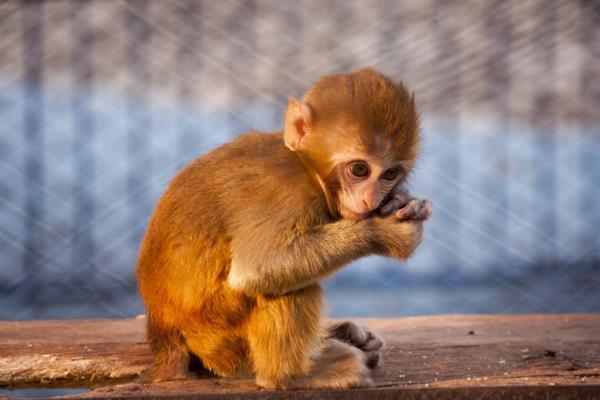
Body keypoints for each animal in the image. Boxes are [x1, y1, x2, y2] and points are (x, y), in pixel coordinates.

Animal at [137, 67, 432, 390]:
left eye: (390, 174)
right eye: (359, 169)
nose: (371, 198)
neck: (309, 170)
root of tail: (165, 331)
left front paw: (403, 203)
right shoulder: (283, 193)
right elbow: (256, 267)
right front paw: (385, 233)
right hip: (215, 334)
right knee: (286, 287)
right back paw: (290, 375)